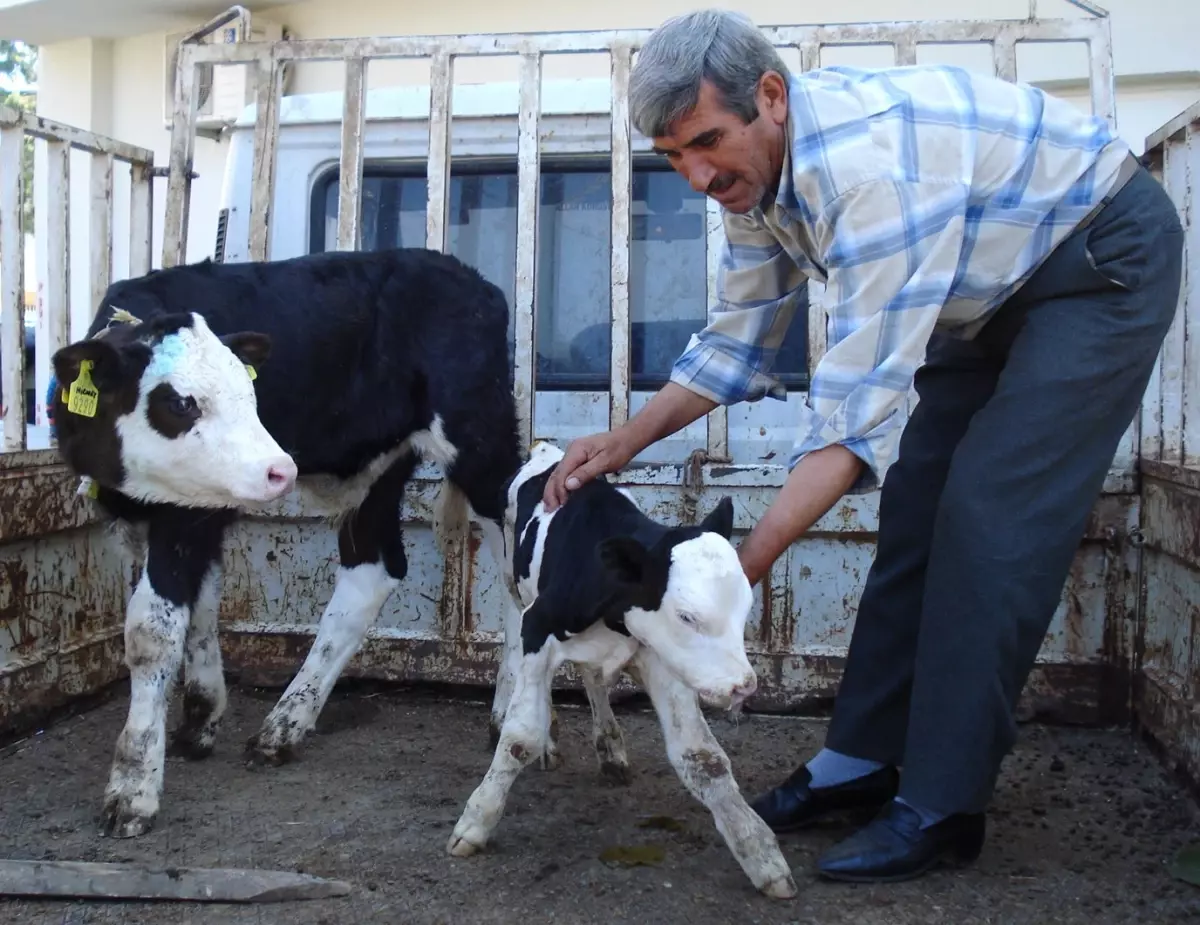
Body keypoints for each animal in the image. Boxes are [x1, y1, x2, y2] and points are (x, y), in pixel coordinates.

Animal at [48, 248, 525, 839]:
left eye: (252, 396)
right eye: (180, 403)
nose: (280, 469)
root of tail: (470, 278)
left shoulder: (185, 518)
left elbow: (151, 633)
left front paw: (132, 787)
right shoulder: (172, 518)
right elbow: (200, 609)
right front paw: (201, 716)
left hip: (480, 441)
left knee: (517, 554)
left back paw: (506, 711)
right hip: (383, 467)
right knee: (373, 570)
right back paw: (286, 724)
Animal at [448, 441, 796, 897]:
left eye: (745, 608)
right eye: (686, 617)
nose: (743, 686)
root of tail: (547, 450)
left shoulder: (661, 660)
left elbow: (703, 757)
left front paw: (760, 853)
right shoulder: (537, 625)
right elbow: (519, 738)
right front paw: (476, 820)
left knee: (593, 679)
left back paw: (609, 747)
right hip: (511, 581)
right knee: (514, 649)